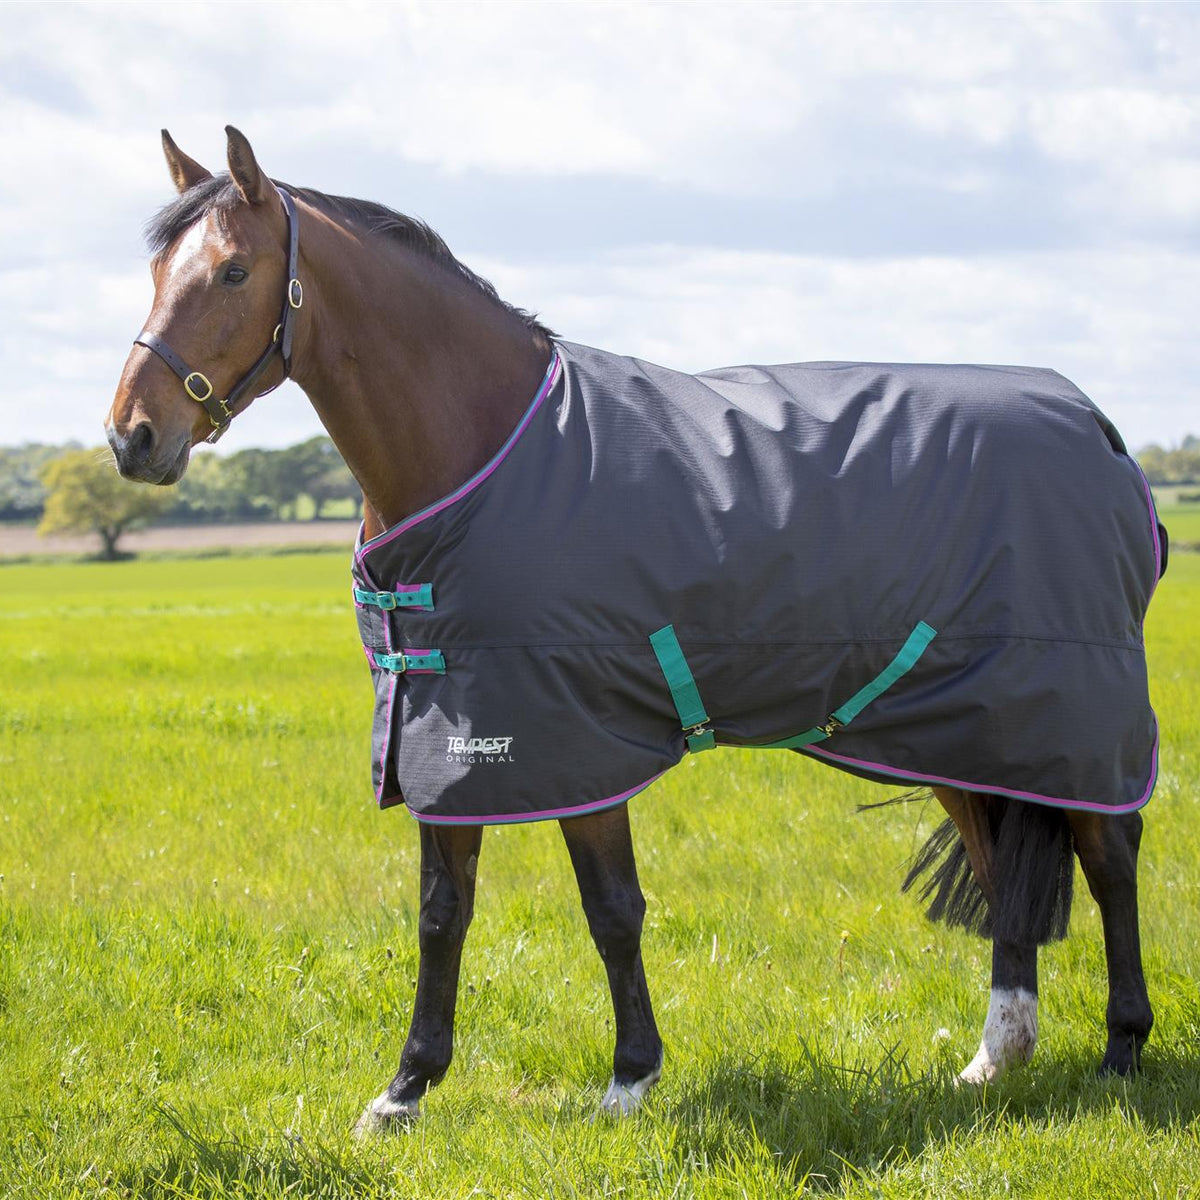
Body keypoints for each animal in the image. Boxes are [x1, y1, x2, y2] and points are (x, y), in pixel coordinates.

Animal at [105, 127, 1161, 1133]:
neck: (488, 450)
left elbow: (611, 909)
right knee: (1000, 857)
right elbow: (444, 913)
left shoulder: (575, 737)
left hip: (1072, 718)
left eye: (233, 271)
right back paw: (995, 1058)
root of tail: (1099, 429)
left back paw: (1122, 1052)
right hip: (967, 724)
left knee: (1110, 854)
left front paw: (628, 1081)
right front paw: (404, 1091)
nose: (131, 436)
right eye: (157, 272)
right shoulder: (448, 732)